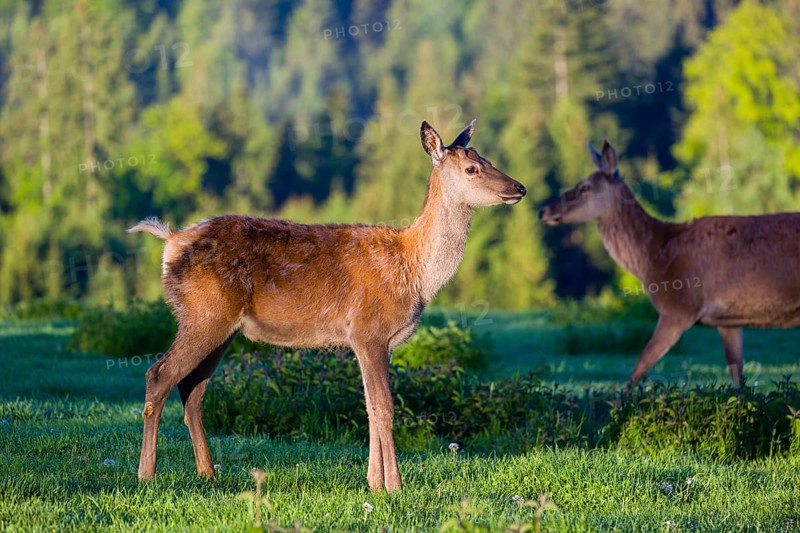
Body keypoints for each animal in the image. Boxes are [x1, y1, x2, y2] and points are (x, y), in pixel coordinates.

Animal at [128, 119, 527, 492]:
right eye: (472, 169)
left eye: (487, 159)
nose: (519, 188)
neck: (414, 272)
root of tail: (172, 240)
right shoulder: (369, 329)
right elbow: (385, 407)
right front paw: (395, 485)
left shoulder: (371, 341)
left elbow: (368, 407)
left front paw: (373, 481)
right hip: (204, 313)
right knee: (159, 374)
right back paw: (146, 474)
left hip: (220, 326)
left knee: (192, 388)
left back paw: (208, 472)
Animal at [538, 140, 800, 386]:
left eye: (585, 187)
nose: (543, 211)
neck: (654, 259)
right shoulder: (729, 320)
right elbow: (738, 378)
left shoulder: (679, 306)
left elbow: (637, 370)